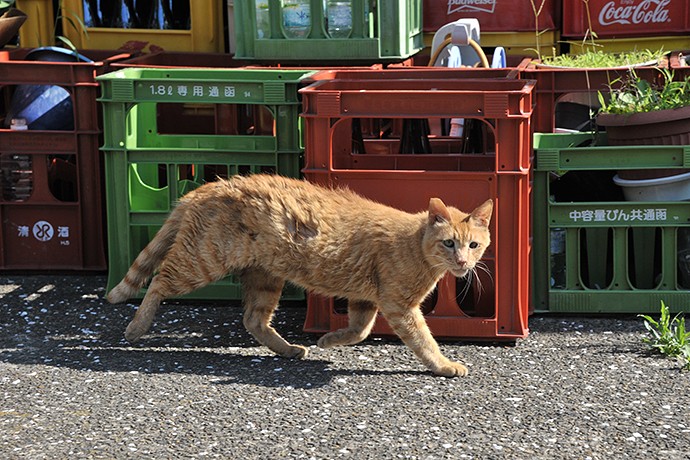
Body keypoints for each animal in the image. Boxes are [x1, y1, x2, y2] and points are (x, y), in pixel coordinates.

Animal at [107, 172, 492, 378]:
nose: (462, 262)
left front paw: (329, 340)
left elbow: (360, 330)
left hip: (264, 277)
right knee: (158, 281)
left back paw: (289, 350)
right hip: (203, 260)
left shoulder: (366, 299)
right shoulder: (399, 306)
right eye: (448, 243)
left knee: (253, 320)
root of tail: (214, 184)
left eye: (474, 245)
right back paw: (136, 327)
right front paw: (443, 365)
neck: (414, 244)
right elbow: (424, 341)